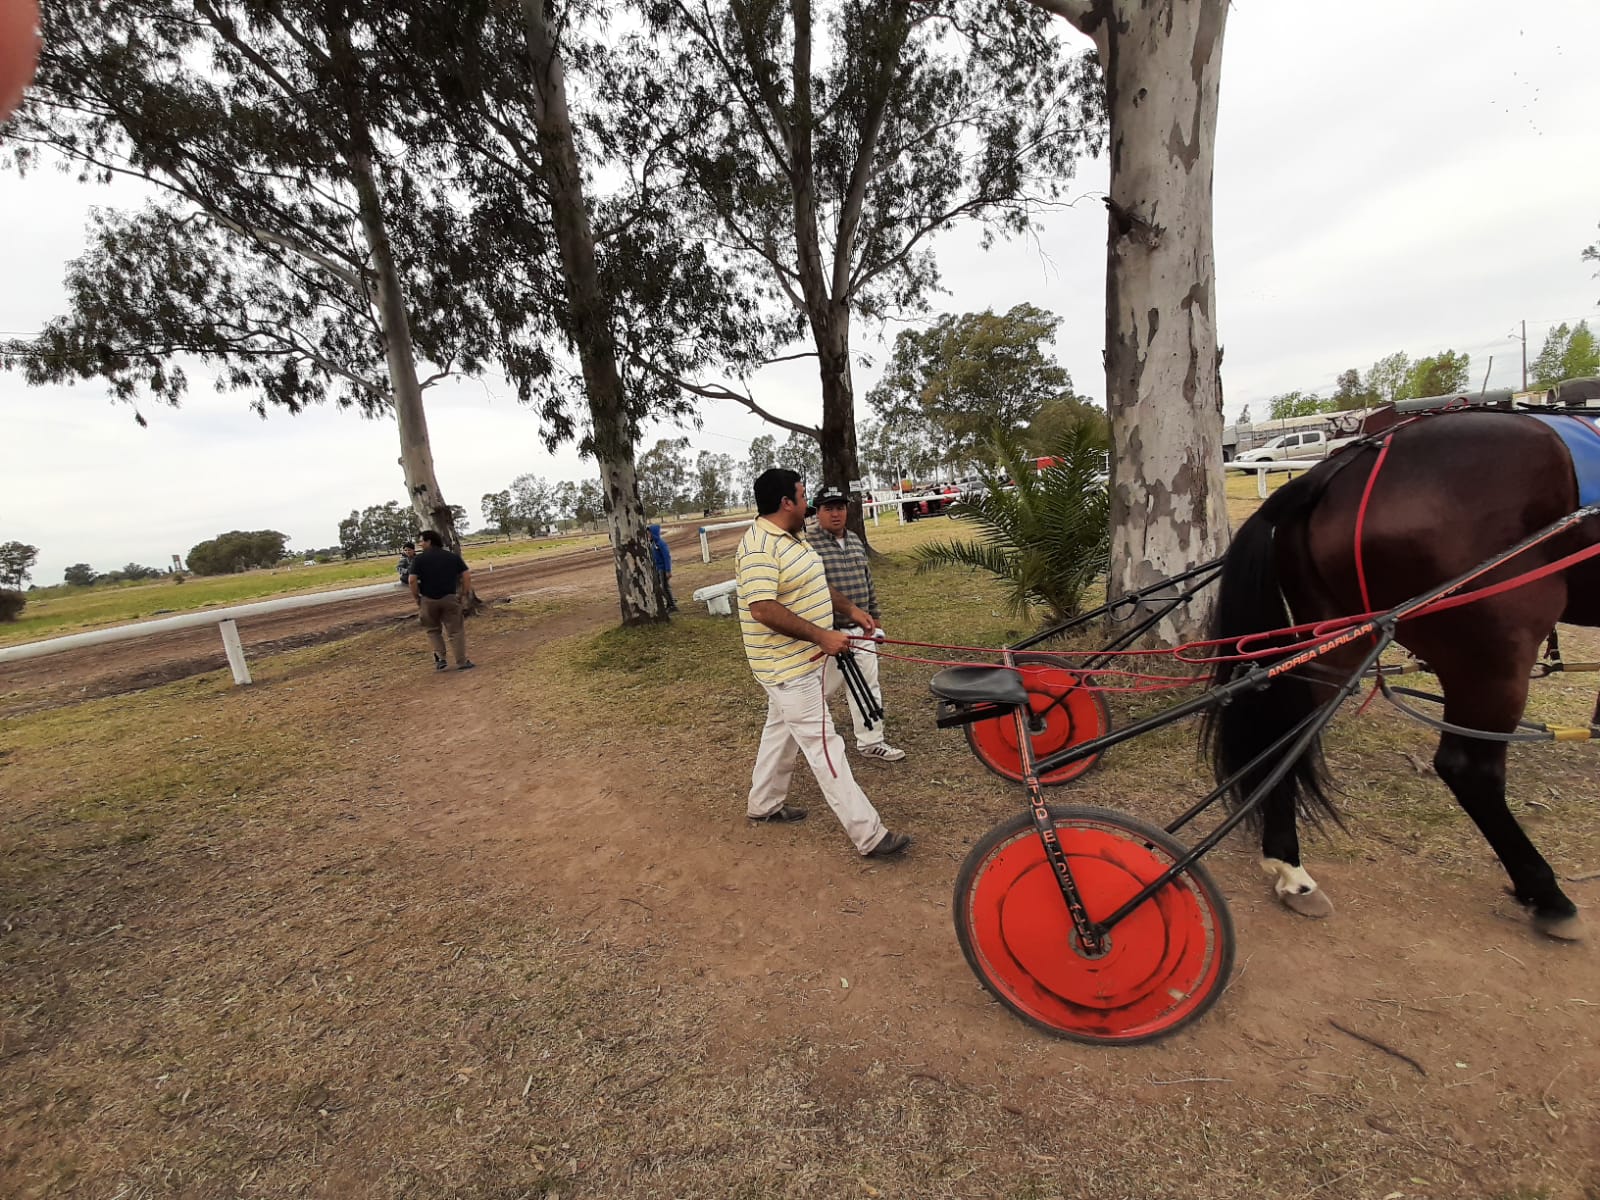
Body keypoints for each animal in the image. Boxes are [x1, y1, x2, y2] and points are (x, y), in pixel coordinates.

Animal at [1205, 410, 1600, 941]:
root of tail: (1335, 467)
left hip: (1342, 630)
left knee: (1289, 734)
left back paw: (1291, 869)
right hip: (1494, 647)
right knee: (1468, 769)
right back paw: (1547, 893)